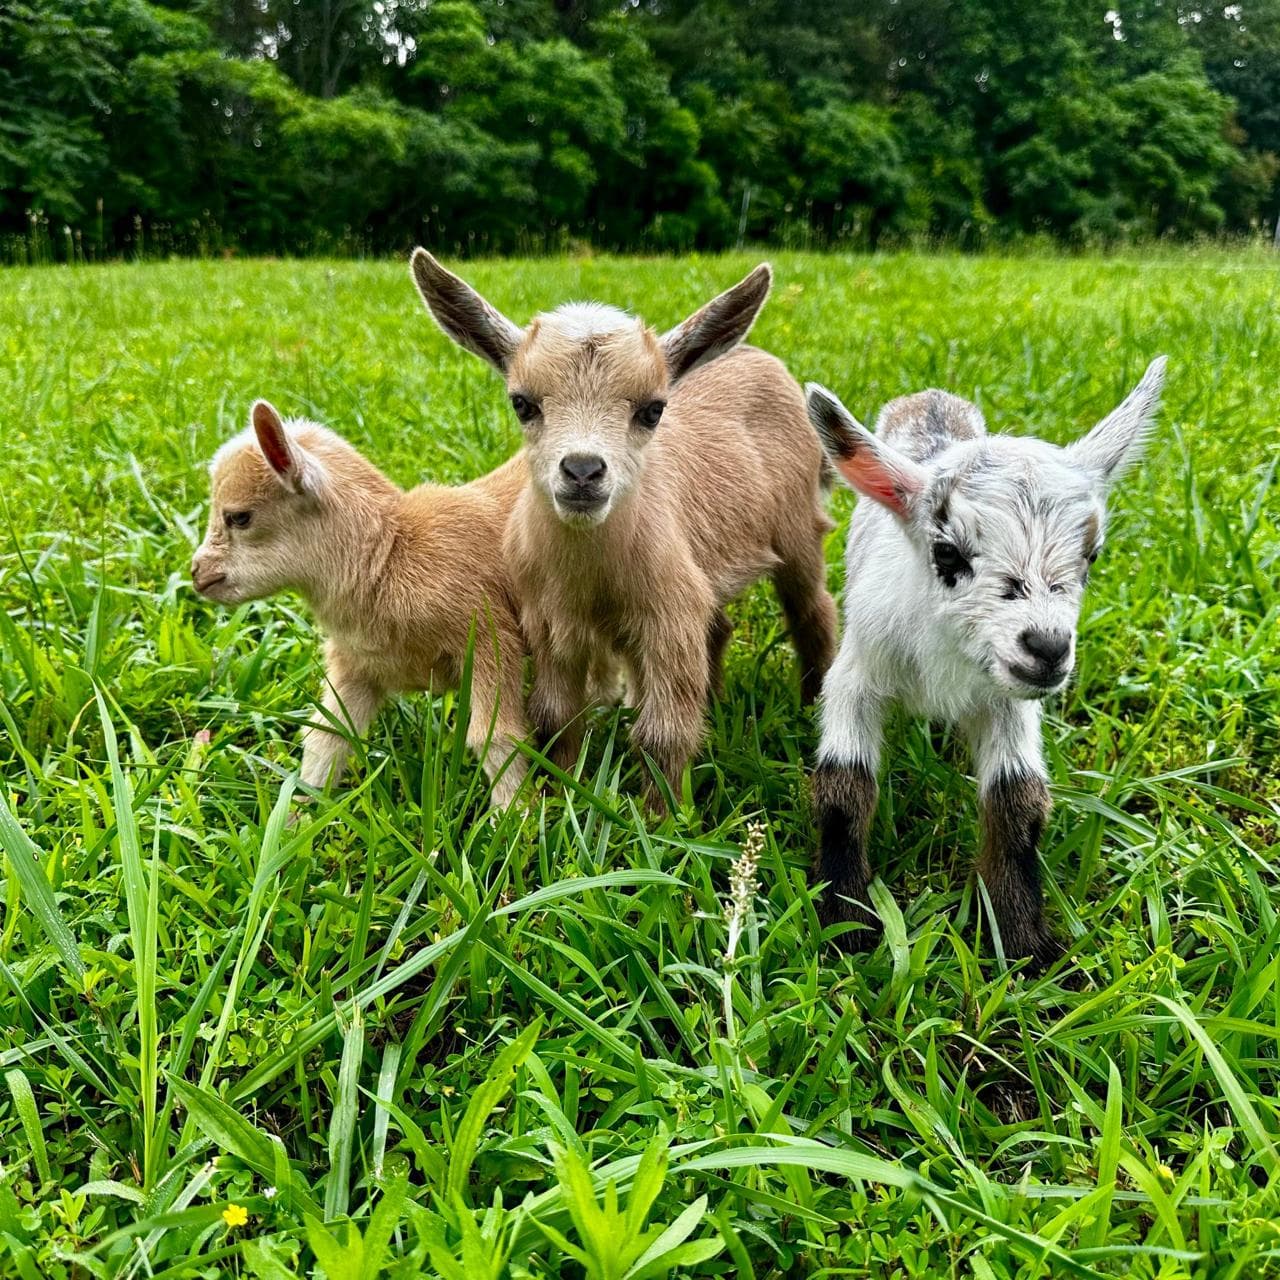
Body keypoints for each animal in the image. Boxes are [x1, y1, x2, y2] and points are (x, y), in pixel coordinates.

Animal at [191, 400, 529, 807]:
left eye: (239, 517)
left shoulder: (488, 637)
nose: (197, 572)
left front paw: (516, 816)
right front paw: (298, 813)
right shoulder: (358, 663)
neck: (392, 554)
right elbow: (327, 738)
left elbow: (496, 737)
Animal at [409, 250, 837, 810]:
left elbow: (662, 734)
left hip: (798, 527)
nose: (583, 471)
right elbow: (555, 715)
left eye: (653, 410)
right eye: (522, 403)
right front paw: (563, 790)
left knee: (812, 610)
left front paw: (664, 817)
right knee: (721, 626)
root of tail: (759, 356)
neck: (592, 576)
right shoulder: (550, 620)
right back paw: (719, 700)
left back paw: (810, 704)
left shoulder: (668, 618)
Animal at [805, 358, 1166, 964]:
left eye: (1092, 556)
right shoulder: (856, 675)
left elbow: (1016, 799)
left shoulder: (1008, 699)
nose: (1047, 648)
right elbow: (844, 788)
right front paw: (844, 925)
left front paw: (1023, 944)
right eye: (947, 553)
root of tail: (930, 399)